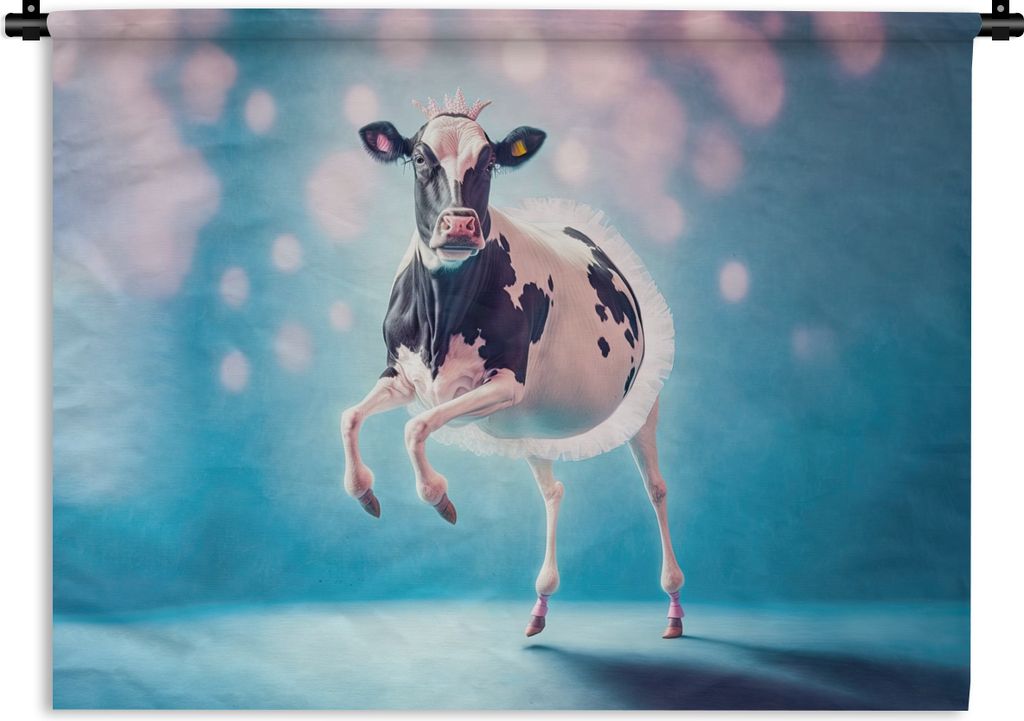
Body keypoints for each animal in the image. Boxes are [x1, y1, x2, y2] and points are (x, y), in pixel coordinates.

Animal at [343, 89, 684, 638]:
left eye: (489, 163)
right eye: (420, 158)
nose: (460, 224)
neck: (440, 317)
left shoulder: (503, 385)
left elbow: (416, 428)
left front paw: (439, 498)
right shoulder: (401, 375)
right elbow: (351, 417)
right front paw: (364, 493)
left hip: (642, 403)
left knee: (656, 489)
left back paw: (673, 606)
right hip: (534, 428)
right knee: (554, 491)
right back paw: (540, 605)